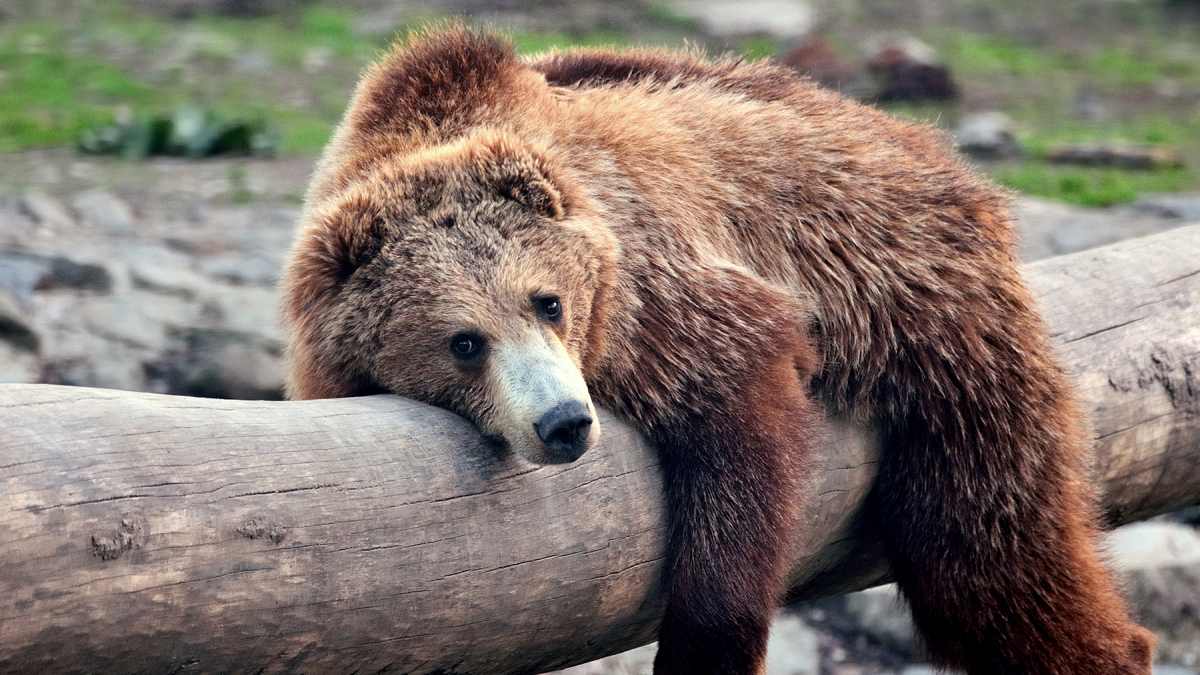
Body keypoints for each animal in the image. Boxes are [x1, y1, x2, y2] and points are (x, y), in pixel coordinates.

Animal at [281, 25, 1154, 675]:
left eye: (547, 300)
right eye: (464, 341)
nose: (564, 422)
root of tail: (934, 152)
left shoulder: (658, 293)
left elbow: (739, 428)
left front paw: (705, 646)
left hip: (928, 307)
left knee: (986, 549)